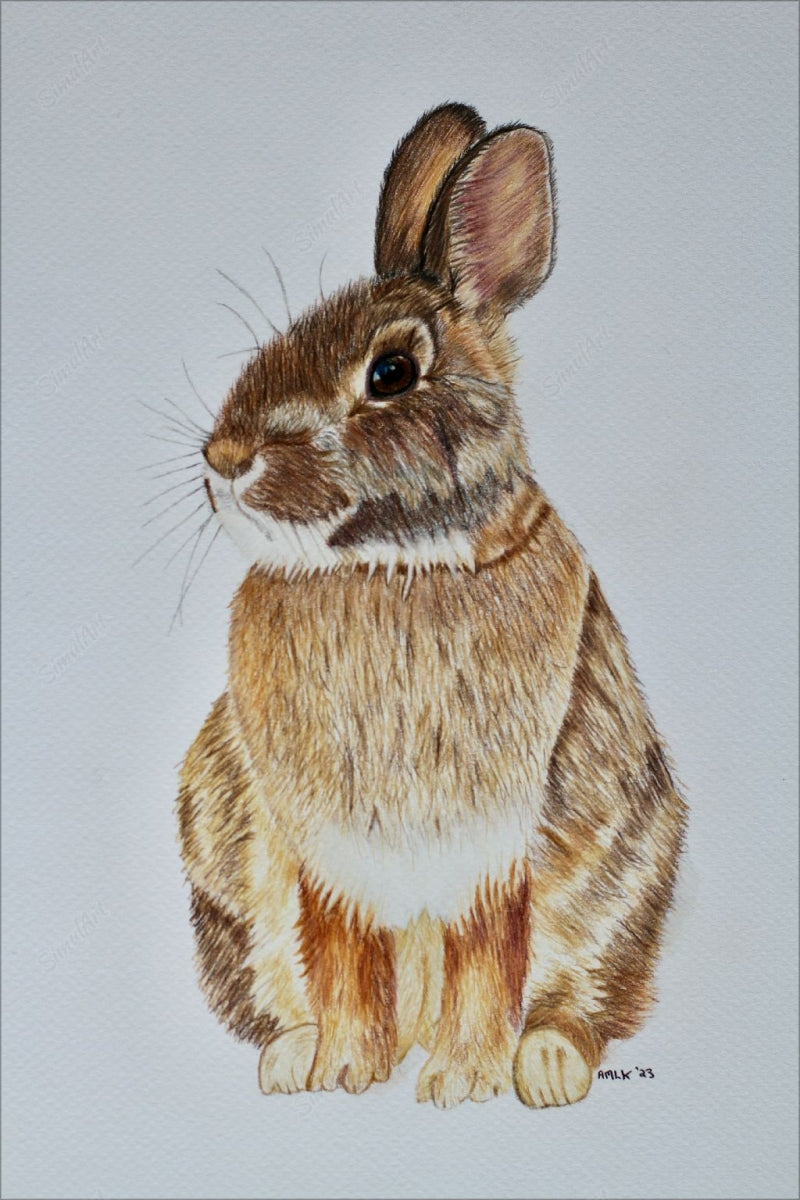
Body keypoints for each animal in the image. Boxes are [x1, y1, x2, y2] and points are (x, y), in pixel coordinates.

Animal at [177, 102, 687, 1108]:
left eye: (392, 374)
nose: (223, 460)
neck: (396, 569)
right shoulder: (326, 854)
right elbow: (342, 956)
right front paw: (345, 1071)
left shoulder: (499, 846)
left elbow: (490, 957)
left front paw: (462, 1081)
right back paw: (292, 1058)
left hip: (628, 869)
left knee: (585, 993)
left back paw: (547, 1065)